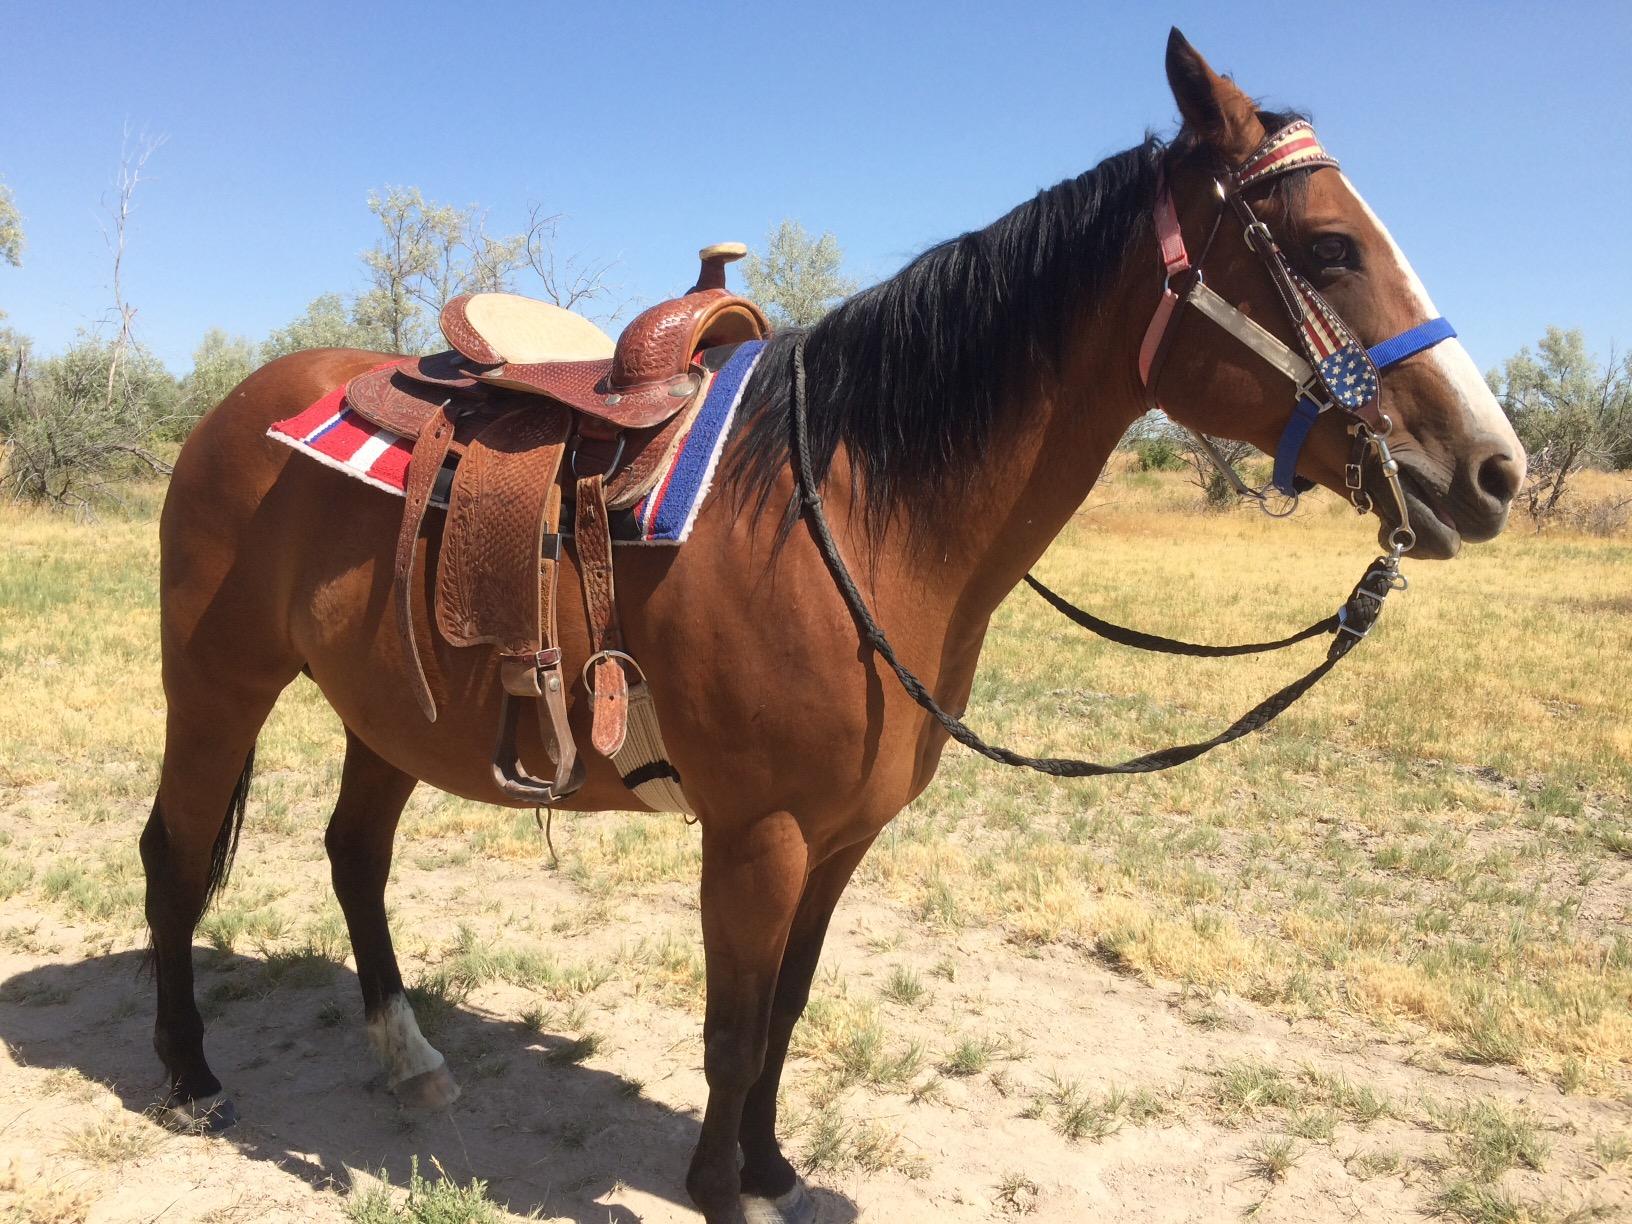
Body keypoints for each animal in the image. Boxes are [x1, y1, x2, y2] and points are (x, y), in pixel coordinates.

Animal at [143, 30, 1524, 1223]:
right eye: (1331, 247)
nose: (1493, 469)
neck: (850, 515)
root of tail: (239, 407)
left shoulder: (843, 839)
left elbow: (788, 1015)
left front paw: (770, 1168)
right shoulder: (759, 836)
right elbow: (732, 1024)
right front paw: (718, 1192)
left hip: (388, 710)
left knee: (353, 857)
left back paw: (411, 1060)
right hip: (218, 684)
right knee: (174, 853)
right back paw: (191, 1078)